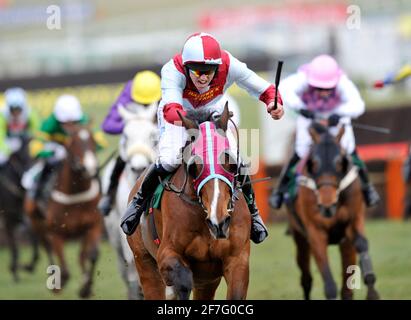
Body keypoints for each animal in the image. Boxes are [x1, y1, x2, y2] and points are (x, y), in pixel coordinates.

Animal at [0, 135, 38, 280]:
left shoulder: (24, 217)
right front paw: (14, 271)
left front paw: (28, 266)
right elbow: (14, 247)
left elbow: (34, 241)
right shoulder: (8, 219)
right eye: (24, 155)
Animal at [26, 124, 103, 298]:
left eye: (93, 140)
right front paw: (58, 284)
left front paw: (86, 289)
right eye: (73, 142)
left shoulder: (93, 225)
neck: (75, 194)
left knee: (81, 256)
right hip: (36, 222)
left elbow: (92, 255)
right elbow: (65, 271)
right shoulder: (56, 232)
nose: (90, 167)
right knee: (46, 246)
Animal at [128, 105, 251, 300]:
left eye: (231, 164)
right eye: (194, 166)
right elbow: (183, 282)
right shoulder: (166, 254)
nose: (218, 222)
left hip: (207, 282)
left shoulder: (237, 259)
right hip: (144, 263)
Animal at [288, 122, 382, 300]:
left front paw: (372, 292)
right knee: (306, 278)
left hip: (344, 243)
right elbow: (328, 280)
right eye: (314, 162)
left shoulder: (353, 220)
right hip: (299, 237)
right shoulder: (315, 231)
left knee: (347, 286)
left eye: (339, 161)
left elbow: (361, 244)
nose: (327, 204)